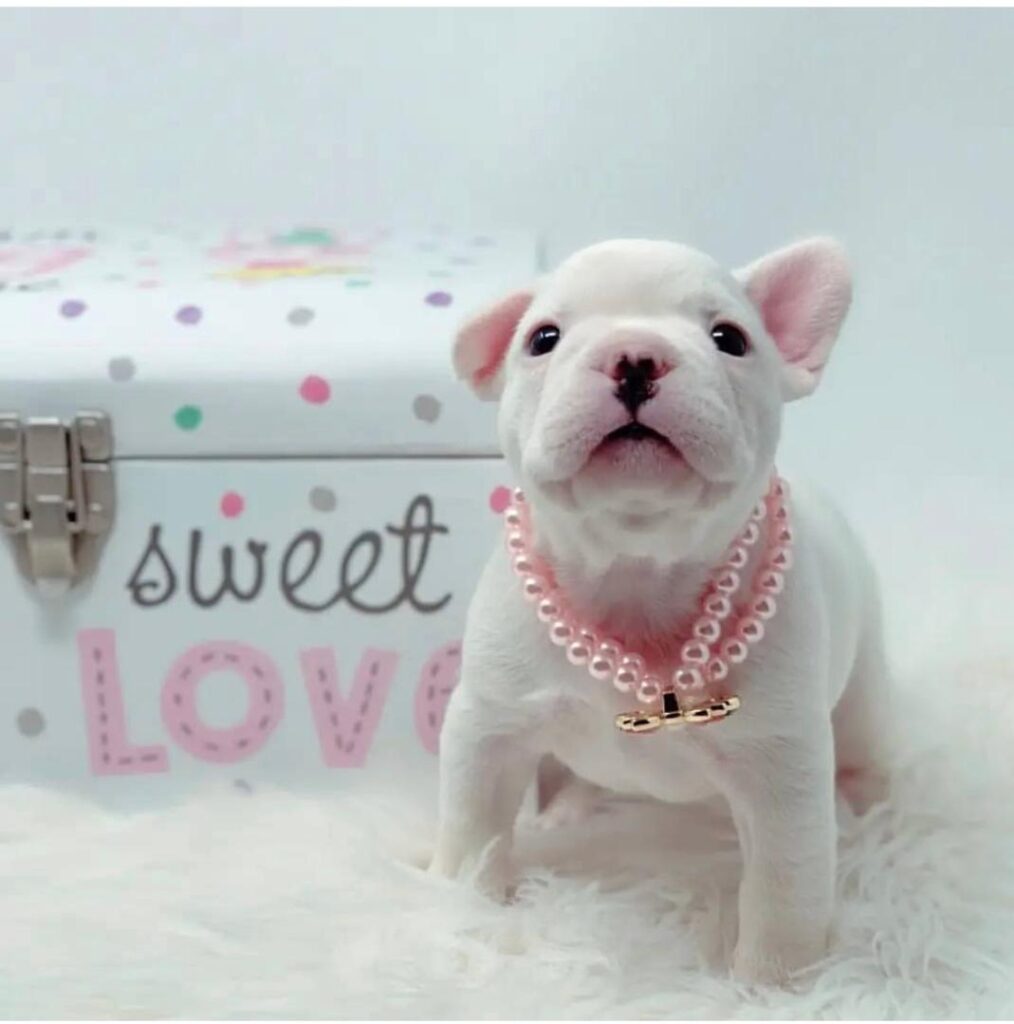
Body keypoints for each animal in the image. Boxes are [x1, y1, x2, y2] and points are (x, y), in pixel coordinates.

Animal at [431, 236, 891, 983]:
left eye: (730, 339)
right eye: (542, 338)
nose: (635, 355)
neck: (634, 569)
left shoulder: (782, 769)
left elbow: (785, 884)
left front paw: (776, 981)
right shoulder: (490, 725)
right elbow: (475, 826)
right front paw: (462, 907)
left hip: (865, 693)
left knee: (863, 753)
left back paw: (866, 816)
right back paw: (570, 813)